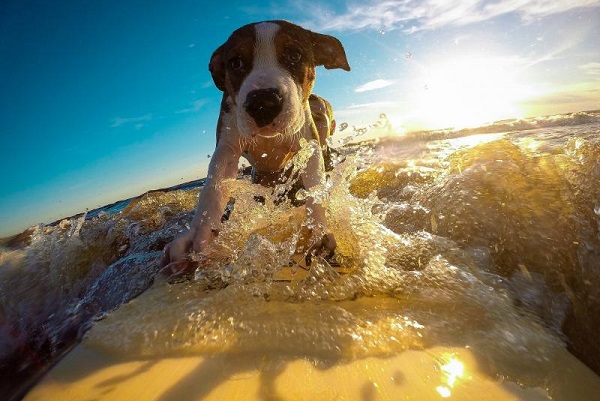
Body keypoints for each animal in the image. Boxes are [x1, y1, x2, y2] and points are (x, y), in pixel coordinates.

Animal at [159, 20, 352, 276]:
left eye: (294, 55)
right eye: (236, 63)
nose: (263, 102)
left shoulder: (308, 143)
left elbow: (314, 186)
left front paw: (318, 230)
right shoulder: (227, 145)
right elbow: (213, 188)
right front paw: (199, 236)